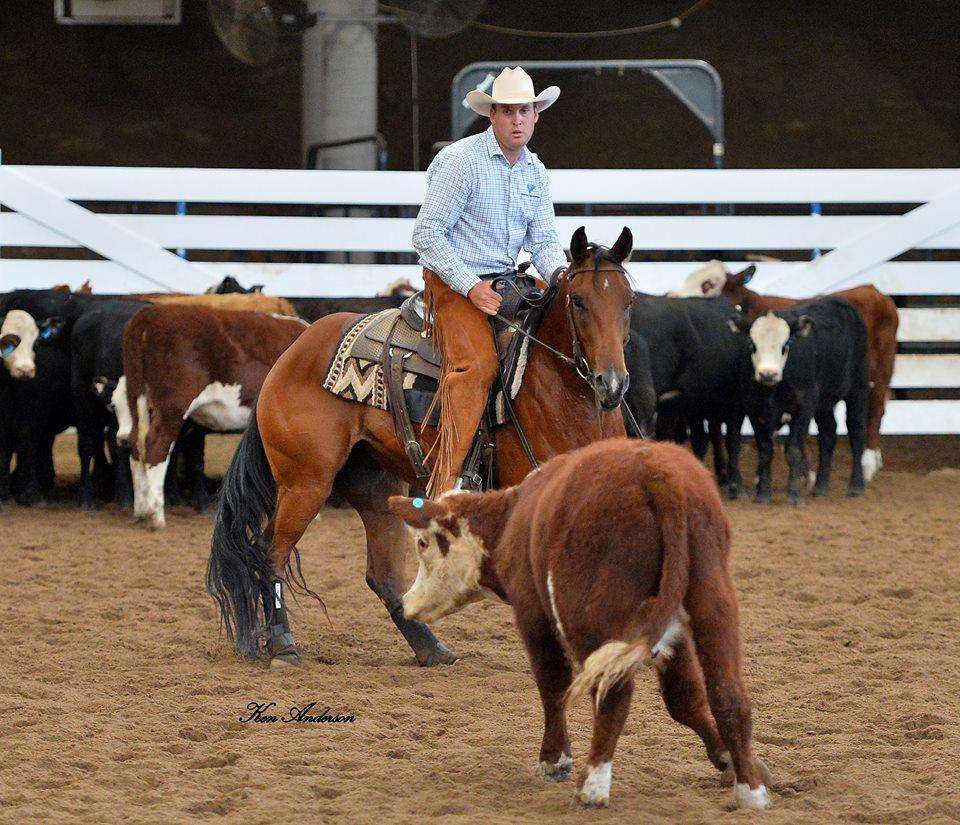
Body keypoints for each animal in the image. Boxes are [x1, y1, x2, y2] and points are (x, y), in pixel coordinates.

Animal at [118, 304, 308, 528]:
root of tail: (151, 312)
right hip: (172, 404)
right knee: (156, 446)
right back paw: (155, 515)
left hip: (136, 398)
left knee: (135, 445)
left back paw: (140, 510)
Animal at [207, 226, 635, 668]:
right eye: (579, 300)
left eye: (628, 300)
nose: (611, 383)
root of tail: (290, 355)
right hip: (305, 483)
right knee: (270, 552)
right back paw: (281, 644)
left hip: (375, 486)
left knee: (382, 575)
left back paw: (432, 649)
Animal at [389, 438, 771, 811]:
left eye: (422, 543)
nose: (407, 602)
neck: (511, 519)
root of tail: (658, 476)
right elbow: (684, 699)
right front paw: (727, 758)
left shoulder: (533, 614)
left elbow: (552, 684)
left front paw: (554, 760)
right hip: (713, 600)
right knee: (727, 692)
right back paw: (750, 792)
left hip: (591, 619)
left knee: (613, 694)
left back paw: (592, 787)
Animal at [729, 296, 870, 504]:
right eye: (752, 344)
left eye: (786, 344)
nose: (768, 374)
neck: (773, 389)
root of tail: (840, 301)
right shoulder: (753, 408)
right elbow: (765, 449)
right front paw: (763, 494)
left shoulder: (803, 407)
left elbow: (793, 449)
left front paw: (794, 494)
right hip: (823, 403)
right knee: (828, 432)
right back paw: (820, 486)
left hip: (858, 388)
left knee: (856, 431)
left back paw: (856, 485)